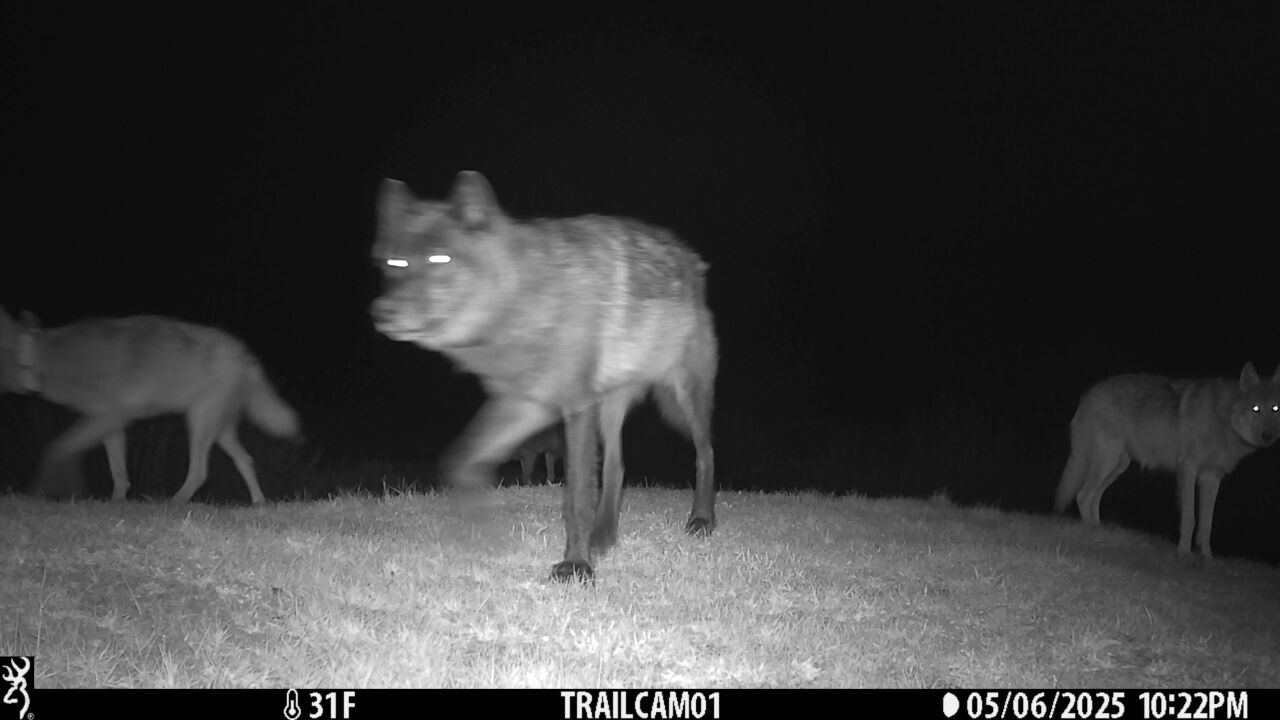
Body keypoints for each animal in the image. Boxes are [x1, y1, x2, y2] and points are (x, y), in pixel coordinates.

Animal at [0, 309, 301, 504]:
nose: (29, 387)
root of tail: (243, 351)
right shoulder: (111, 424)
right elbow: (118, 472)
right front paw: (116, 502)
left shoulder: (107, 418)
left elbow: (56, 449)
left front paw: (38, 493)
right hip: (220, 431)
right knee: (245, 460)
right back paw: (259, 504)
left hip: (199, 422)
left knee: (200, 471)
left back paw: (172, 504)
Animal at [371, 171, 718, 582]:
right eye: (396, 261)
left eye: (440, 257)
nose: (381, 313)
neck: (527, 298)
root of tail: (691, 258)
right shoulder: (525, 404)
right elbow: (461, 462)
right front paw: (485, 535)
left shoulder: (575, 405)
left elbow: (576, 495)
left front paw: (577, 565)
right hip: (608, 407)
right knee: (616, 466)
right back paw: (604, 535)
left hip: (682, 396)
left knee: (705, 452)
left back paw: (701, 520)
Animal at [1055, 362, 1280, 559]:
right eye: (1256, 409)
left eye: (1275, 409)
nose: (1268, 435)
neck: (1223, 418)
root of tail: (1088, 394)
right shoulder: (1188, 469)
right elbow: (1189, 518)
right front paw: (1184, 554)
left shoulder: (1212, 478)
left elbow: (1207, 524)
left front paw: (1207, 559)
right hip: (1107, 462)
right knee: (1083, 495)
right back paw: (1090, 533)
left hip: (1117, 467)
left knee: (1094, 497)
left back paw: (1098, 530)